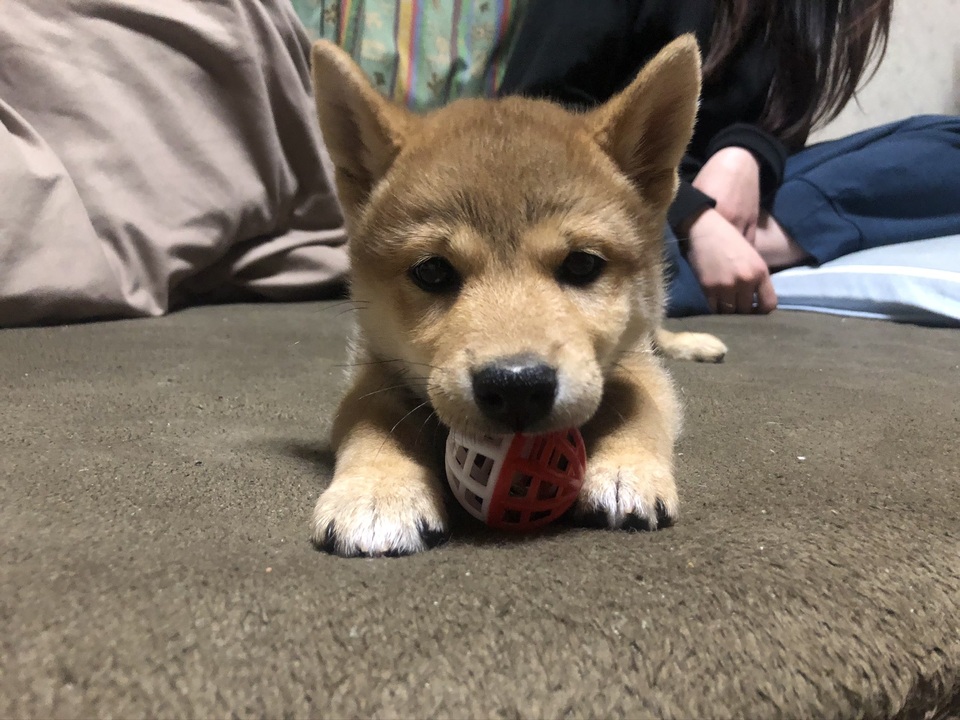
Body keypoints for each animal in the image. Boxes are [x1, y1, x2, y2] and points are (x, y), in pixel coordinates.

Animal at [312, 35, 724, 556]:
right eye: (432, 271)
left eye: (582, 265)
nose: (516, 387)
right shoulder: (374, 369)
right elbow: (372, 423)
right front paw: (377, 490)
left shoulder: (635, 363)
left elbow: (640, 407)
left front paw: (626, 468)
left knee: (660, 332)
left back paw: (696, 343)